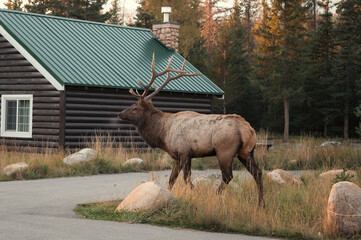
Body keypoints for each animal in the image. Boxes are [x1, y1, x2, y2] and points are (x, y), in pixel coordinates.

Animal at [118, 54, 264, 206]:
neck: (163, 135)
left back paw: (217, 196)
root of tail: (248, 130)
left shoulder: (185, 152)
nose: (120, 114)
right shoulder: (177, 156)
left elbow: (186, 179)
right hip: (246, 151)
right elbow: (171, 179)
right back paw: (261, 204)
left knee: (228, 176)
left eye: (134, 108)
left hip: (225, 151)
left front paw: (197, 195)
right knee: (258, 173)